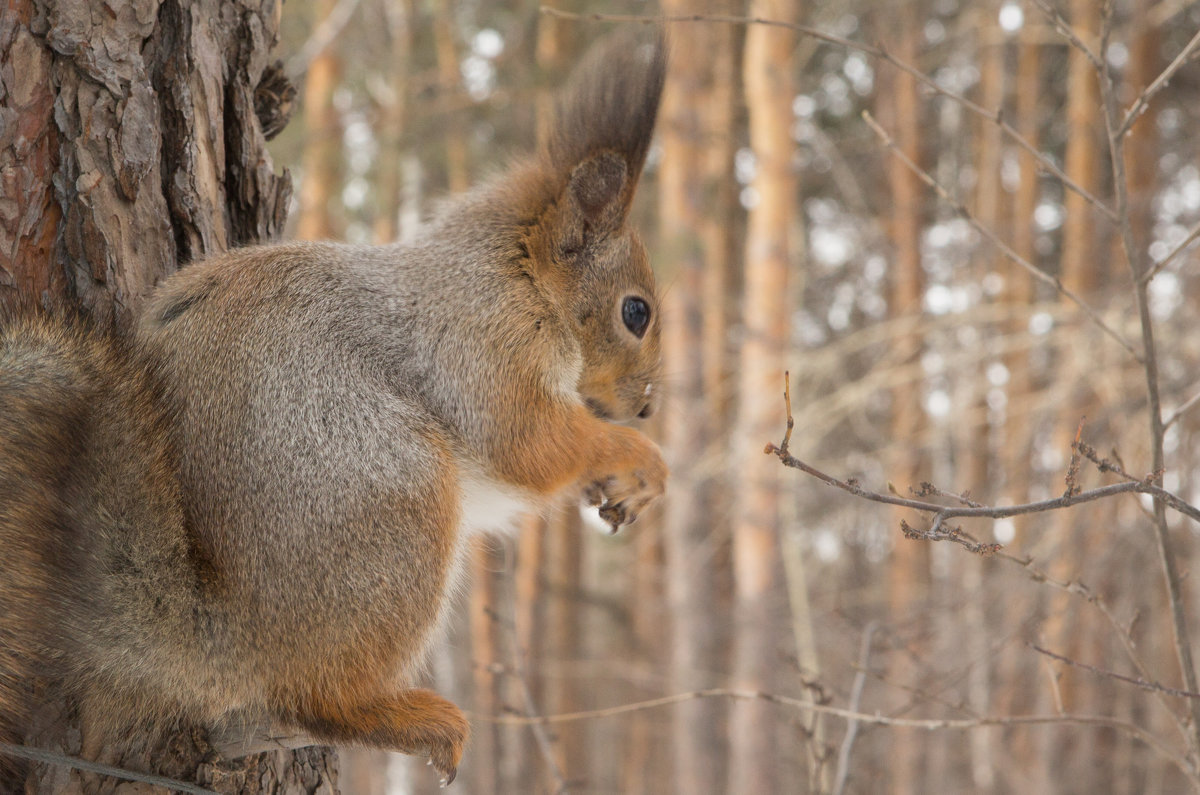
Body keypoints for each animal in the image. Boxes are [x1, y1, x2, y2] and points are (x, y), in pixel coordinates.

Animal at [0, 29, 667, 792]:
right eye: (636, 312)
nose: (648, 406)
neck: (513, 271)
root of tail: (226, 636)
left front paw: (620, 489)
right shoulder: (485, 346)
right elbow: (531, 442)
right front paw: (640, 460)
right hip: (399, 511)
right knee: (316, 697)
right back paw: (415, 718)